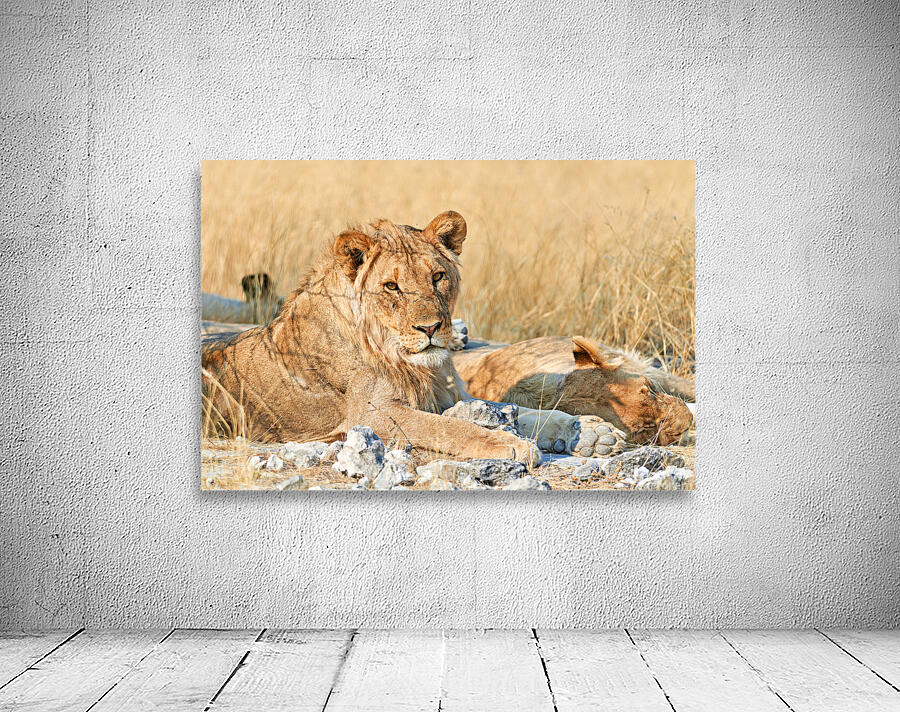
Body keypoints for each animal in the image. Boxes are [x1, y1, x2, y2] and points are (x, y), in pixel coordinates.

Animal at [202, 211, 626, 464]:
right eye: (391, 286)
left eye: (437, 277)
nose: (431, 328)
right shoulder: (372, 414)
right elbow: (450, 428)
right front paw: (509, 445)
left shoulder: (452, 395)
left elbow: (532, 412)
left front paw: (593, 431)